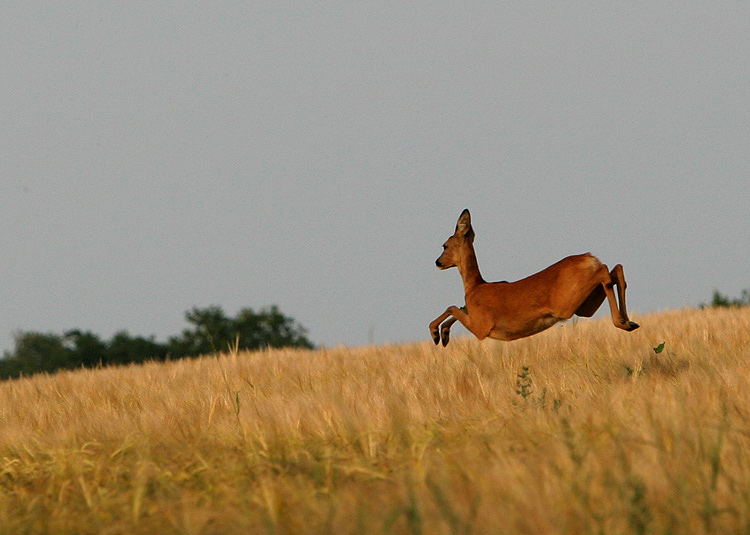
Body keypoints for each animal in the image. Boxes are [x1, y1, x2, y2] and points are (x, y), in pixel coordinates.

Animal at [428, 209, 640, 348]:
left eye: (445, 245)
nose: (438, 262)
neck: (474, 287)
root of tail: (589, 258)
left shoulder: (481, 328)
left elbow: (452, 307)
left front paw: (437, 334)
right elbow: (455, 308)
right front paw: (443, 335)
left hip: (568, 302)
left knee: (606, 271)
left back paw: (622, 322)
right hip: (586, 305)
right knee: (616, 270)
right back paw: (629, 322)